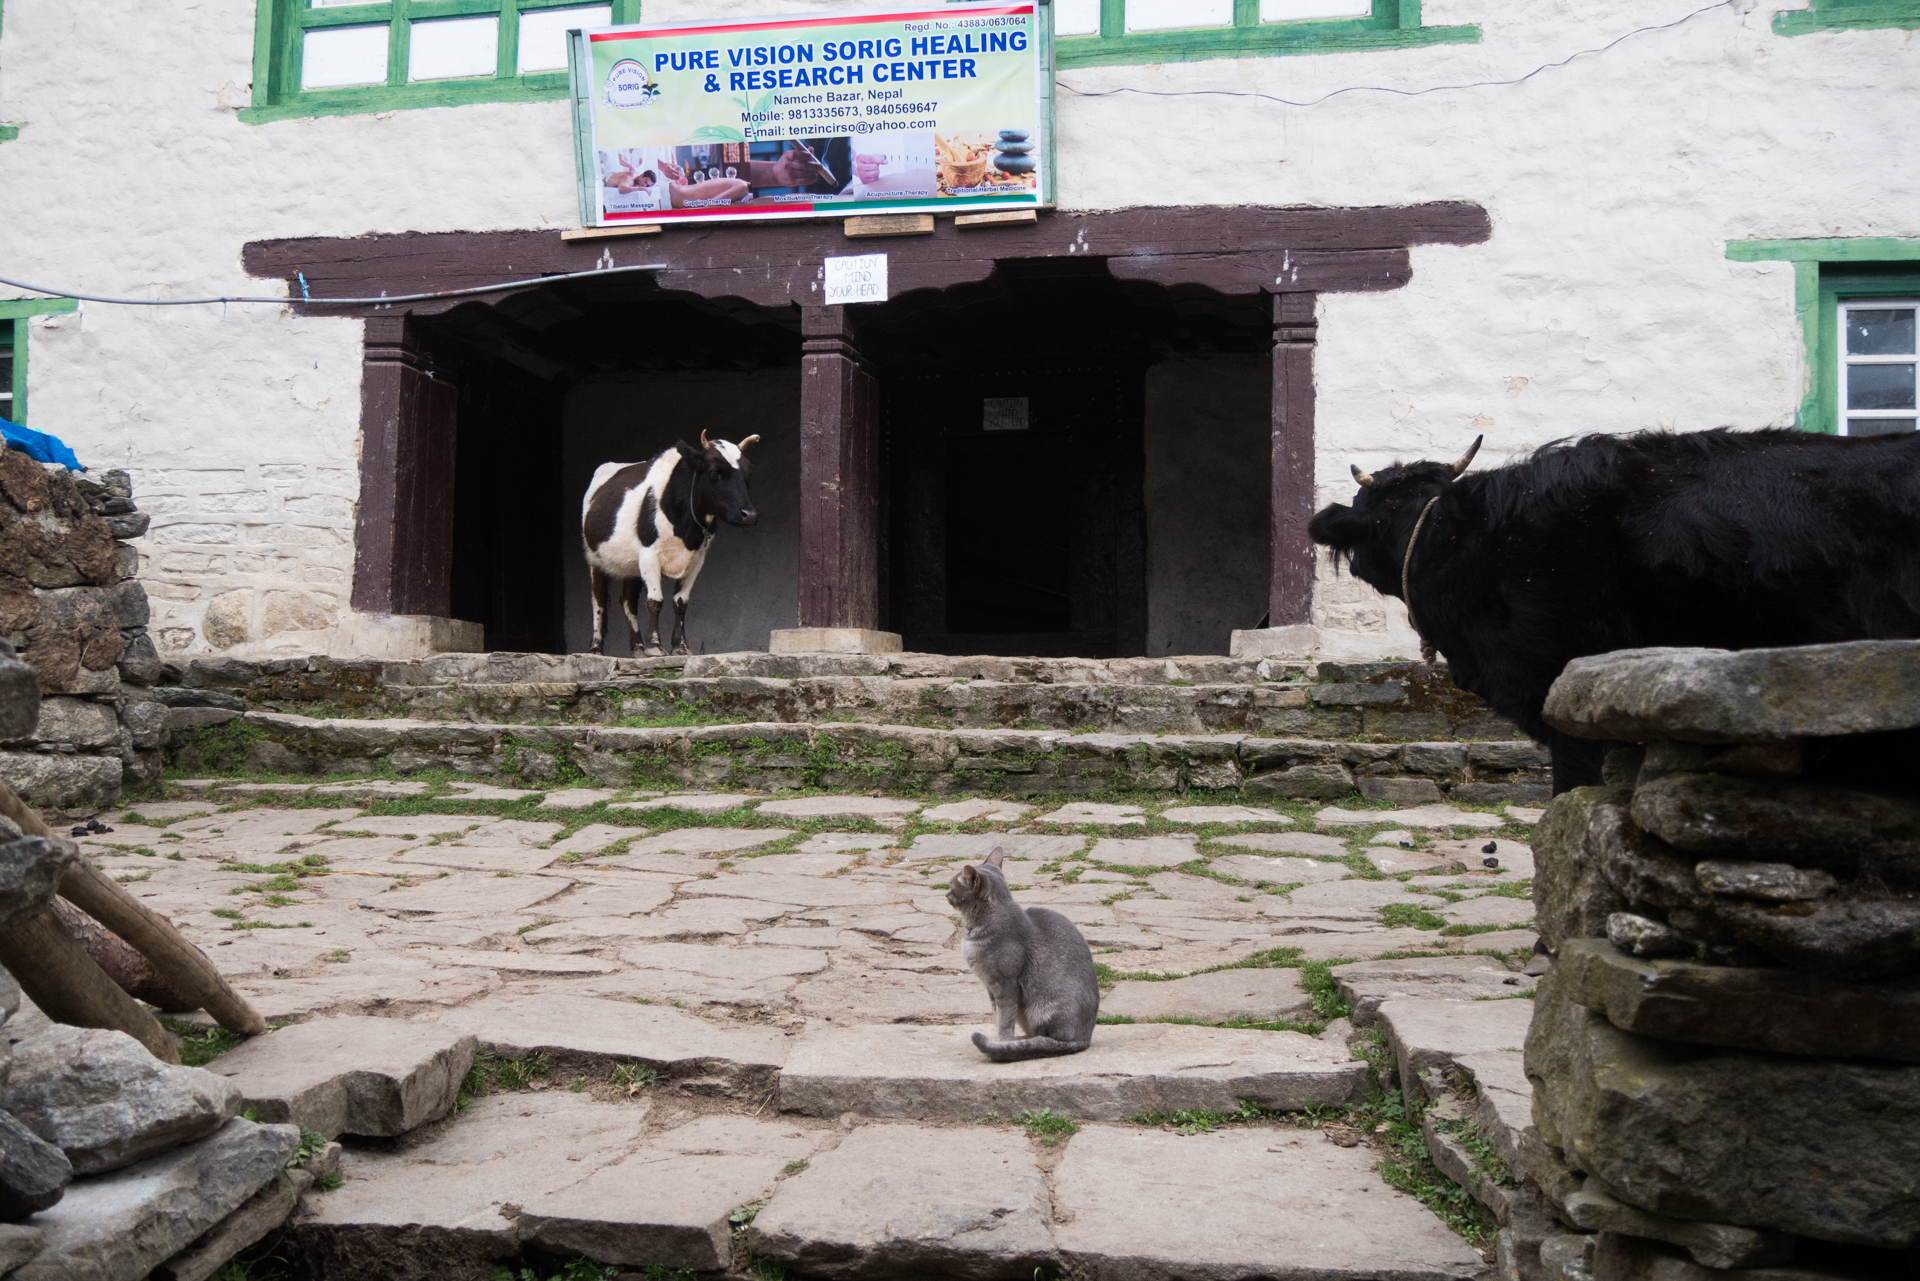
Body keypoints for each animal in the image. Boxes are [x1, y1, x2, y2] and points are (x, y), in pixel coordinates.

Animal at [579, 434, 760, 656]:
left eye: (748, 472)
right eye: (714, 472)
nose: (749, 515)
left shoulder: (697, 560)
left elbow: (681, 603)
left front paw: (680, 646)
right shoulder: (649, 555)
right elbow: (655, 601)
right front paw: (655, 646)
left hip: (631, 565)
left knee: (627, 601)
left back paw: (638, 648)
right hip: (594, 558)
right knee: (599, 600)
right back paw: (596, 648)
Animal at [940, 841, 1098, 1060]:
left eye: (952, 885)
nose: (945, 894)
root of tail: (1086, 1038)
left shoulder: (1005, 984)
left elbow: (1005, 1020)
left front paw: (1002, 1041)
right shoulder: (990, 987)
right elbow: (997, 1016)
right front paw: (1001, 1040)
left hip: (1044, 1007)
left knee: (1049, 1038)